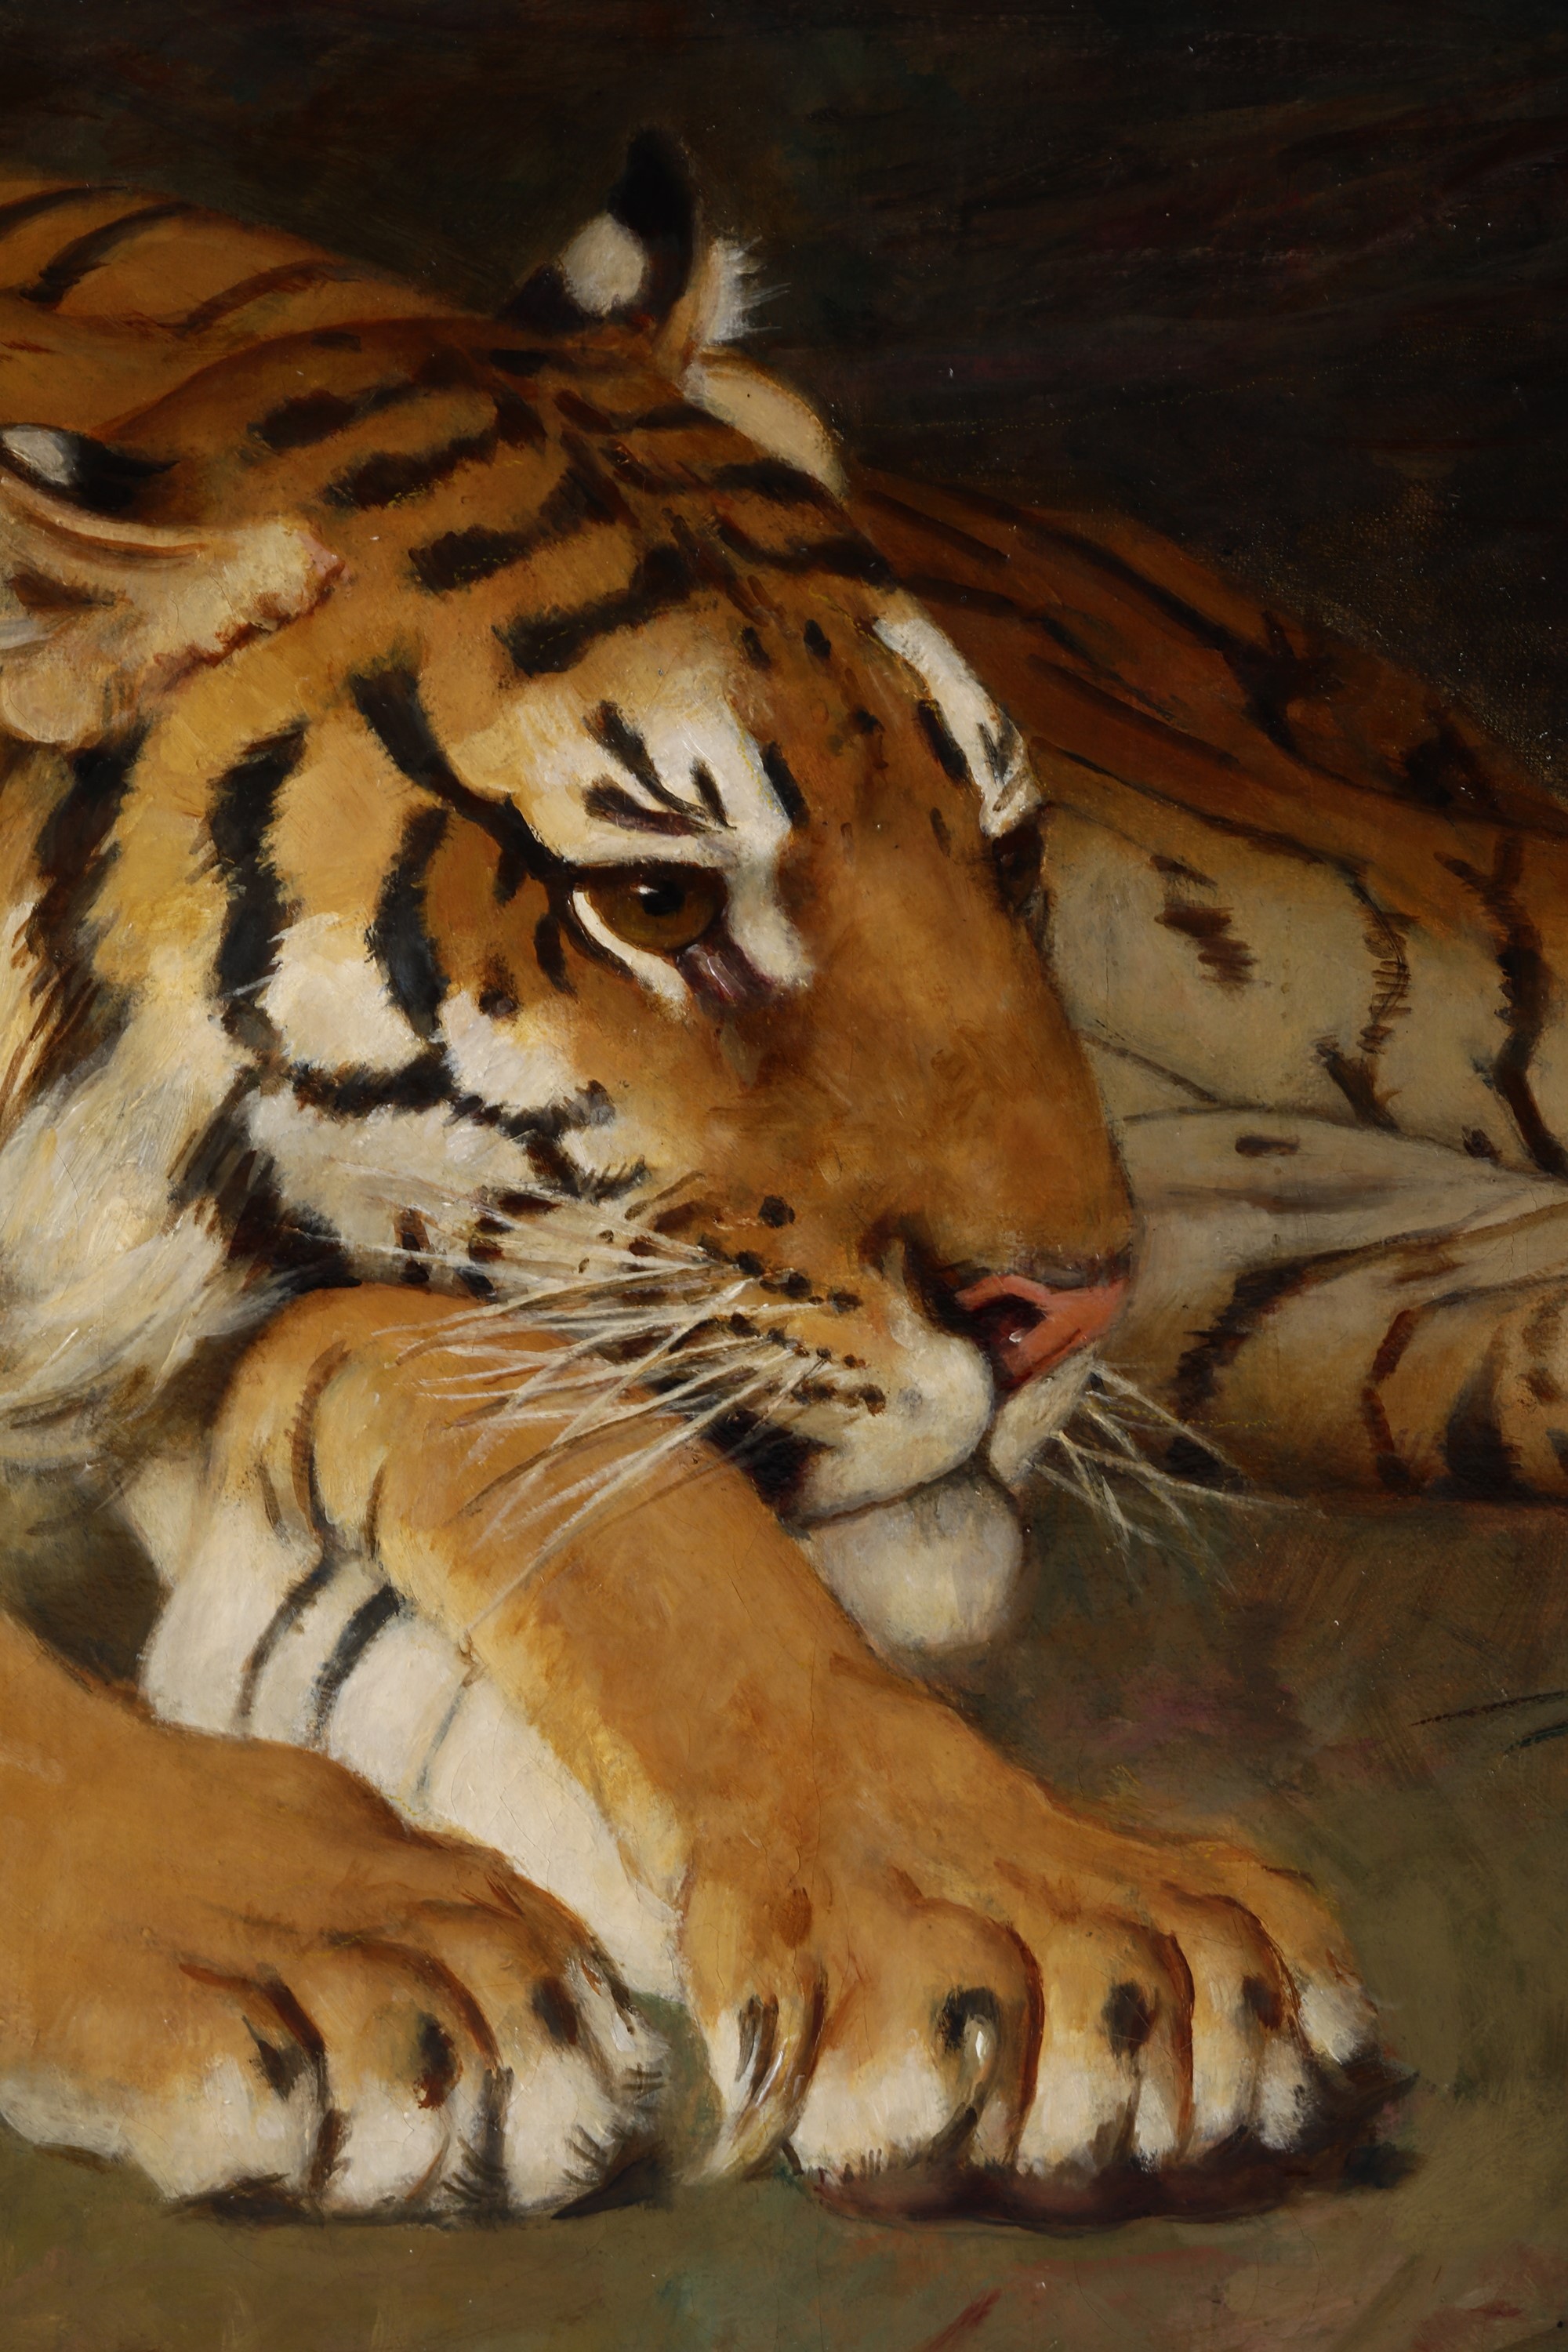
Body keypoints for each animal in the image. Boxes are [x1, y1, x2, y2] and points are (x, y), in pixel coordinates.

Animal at [6, 128, 1559, 2228]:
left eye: (1002, 848)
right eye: (659, 904)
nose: (1069, 1303)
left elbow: (623, 1505)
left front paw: (1059, 1940)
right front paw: (322, 1950)